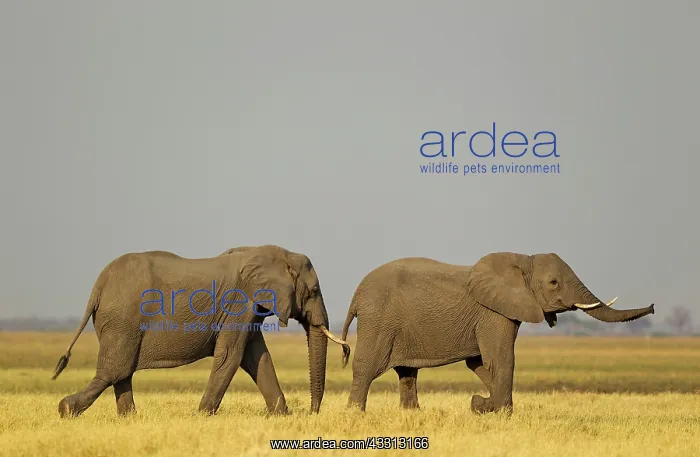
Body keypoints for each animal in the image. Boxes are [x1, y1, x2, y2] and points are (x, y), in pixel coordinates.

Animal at [51, 244, 350, 418]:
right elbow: (231, 355)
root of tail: (98, 286)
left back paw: (130, 419)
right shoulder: (240, 301)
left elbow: (257, 357)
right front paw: (202, 416)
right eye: (313, 291)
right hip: (122, 320)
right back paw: (67, 409)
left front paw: (281, 416)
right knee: (113, 372)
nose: (312, 414)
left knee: (121, 373)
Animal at [339, 252, 655, 415]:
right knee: (367, 367)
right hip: (379, 320)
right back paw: (356, 414)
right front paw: (490, 408)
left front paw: (488, 406)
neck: (523, 261)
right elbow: (501, 358)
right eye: (554, 283)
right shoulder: (494, 313)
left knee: (406, 372)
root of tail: (356, 294)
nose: (653, 307)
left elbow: (480, 362)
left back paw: (413, 414)